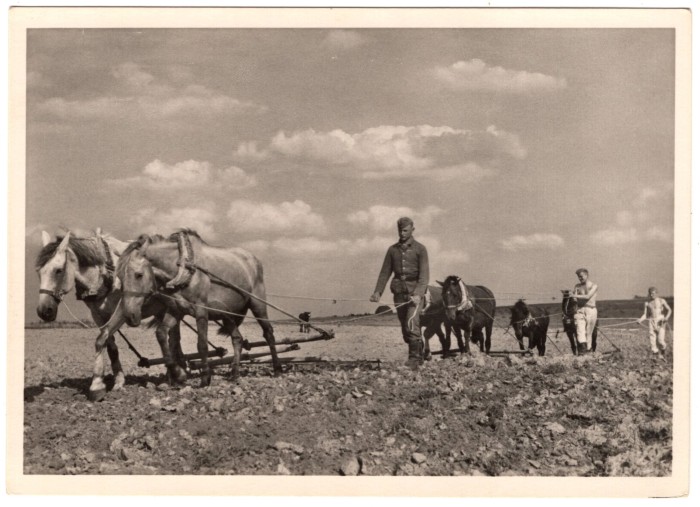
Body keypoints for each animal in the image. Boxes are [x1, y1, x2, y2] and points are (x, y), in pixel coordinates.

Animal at [36, 229, 185, 400]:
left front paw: (96, 385)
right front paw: (118, 381)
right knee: (173, 337)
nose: (44, 311)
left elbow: (100, 340)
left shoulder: (122, 310)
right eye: (39, 272)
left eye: (58, 270)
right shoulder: (99, 315)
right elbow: (110, 345)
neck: (104, 275)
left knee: (172, 338)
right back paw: (175, 371)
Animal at [117, 228, 282, 386]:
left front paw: (205, 378)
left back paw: (277, 369)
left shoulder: (201, 311)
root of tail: (254, 259)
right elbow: (162, 334)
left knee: (268, 333)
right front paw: (178, 373)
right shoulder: (176, 310)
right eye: (119, 277)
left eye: (138, 274)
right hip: (227, 315)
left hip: (258, 305)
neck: (183, 267)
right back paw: (234, 373)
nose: (129, 316)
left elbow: (202, 344)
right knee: (237, 339)